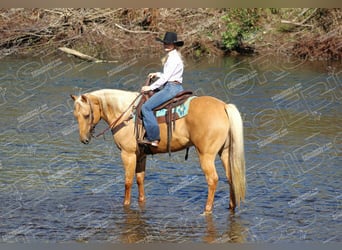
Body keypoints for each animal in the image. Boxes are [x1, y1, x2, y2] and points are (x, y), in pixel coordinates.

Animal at [71, 88, 244, 213]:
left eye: (86, 115)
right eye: (75, 115)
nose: (84, 139)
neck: (126, 114)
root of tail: (223, 106)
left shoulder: (127, 154)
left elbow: (128, 181)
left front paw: (125, 204)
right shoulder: (141, 155)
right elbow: (140, 179)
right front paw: (141, 201)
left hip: (206, 155)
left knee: (212, 179)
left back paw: (207, 209)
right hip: (225, 153)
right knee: (230, 177)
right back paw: (231, 206)